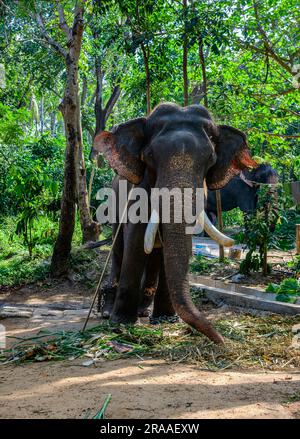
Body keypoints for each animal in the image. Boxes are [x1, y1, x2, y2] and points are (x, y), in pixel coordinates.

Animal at [90, 103, 256, 344]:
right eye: (149, 156)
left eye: (211, 159)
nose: (222, 341)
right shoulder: (137, 192)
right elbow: (136, 242)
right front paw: (121, 322)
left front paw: (165, 320)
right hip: (114, 203)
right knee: (119, 248)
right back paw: (109, 311)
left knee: (155, 257)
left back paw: (144, 311)